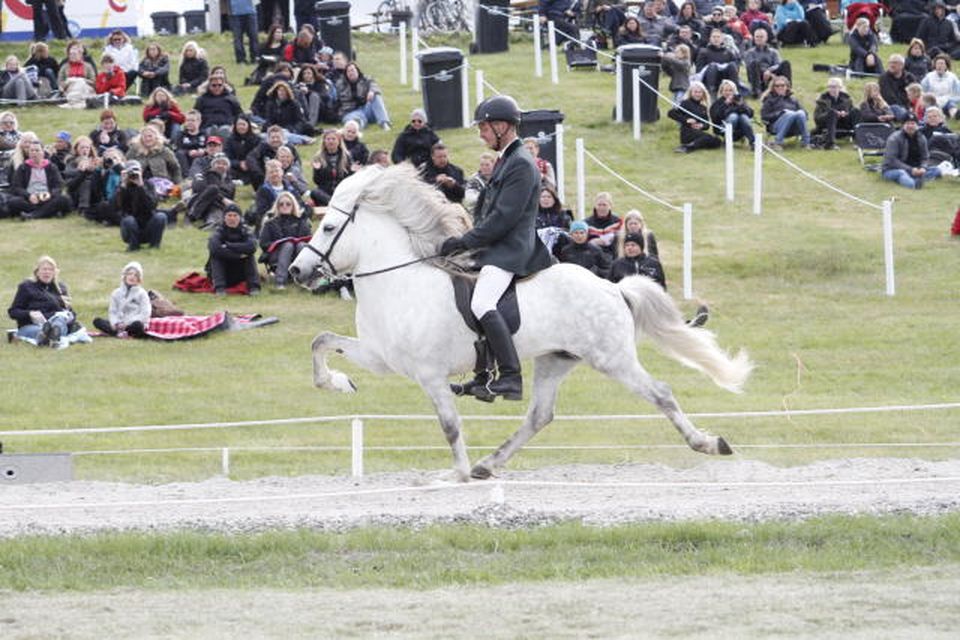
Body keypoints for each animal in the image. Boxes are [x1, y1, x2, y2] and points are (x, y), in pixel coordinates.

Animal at [288, 165, 752, 480]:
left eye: (329, 227)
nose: (296, 271)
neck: (401, 283)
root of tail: (612, 288)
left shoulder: (430, 374)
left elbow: (450, 426)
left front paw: (456, 474)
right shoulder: (381, 358)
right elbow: (320, 340)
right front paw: (338, 383)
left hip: (612, 358)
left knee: (660, 392)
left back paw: (708, 443)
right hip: (555, 360)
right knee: (539, 416)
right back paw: (487, 464)